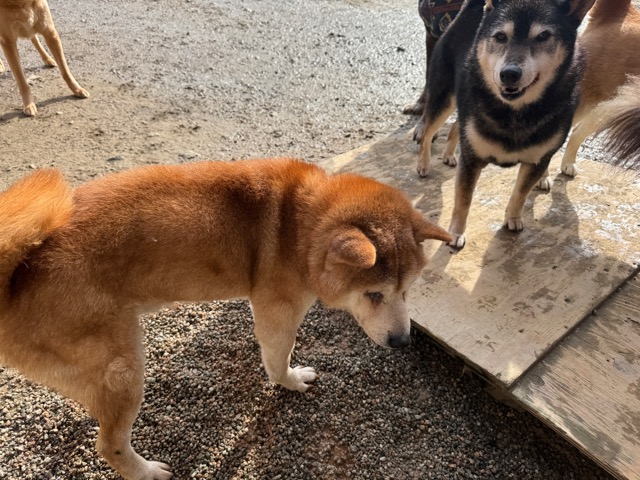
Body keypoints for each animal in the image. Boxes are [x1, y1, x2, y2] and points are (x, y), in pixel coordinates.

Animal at [0, 158, 451, 479]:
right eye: (374, 295)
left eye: (407, 290)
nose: (403, 342)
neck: (302, 223)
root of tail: (19, 274)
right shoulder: (278, 314)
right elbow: (278, 361)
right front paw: (290, 381)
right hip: (124, 369)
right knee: (108, 444)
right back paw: (146, 472)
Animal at [416, 0, 595, 248]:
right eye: (500, 36)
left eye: (543, 36)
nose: (509, 74)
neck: (514, 112)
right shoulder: (471, 159)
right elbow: (463, 200)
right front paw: (456, 233)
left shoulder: (536, 160)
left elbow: (520, 193)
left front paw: (513, 218)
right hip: (444, 97)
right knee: (427, 131)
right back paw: (423, 164)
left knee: (454, 127)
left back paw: (450, 154)